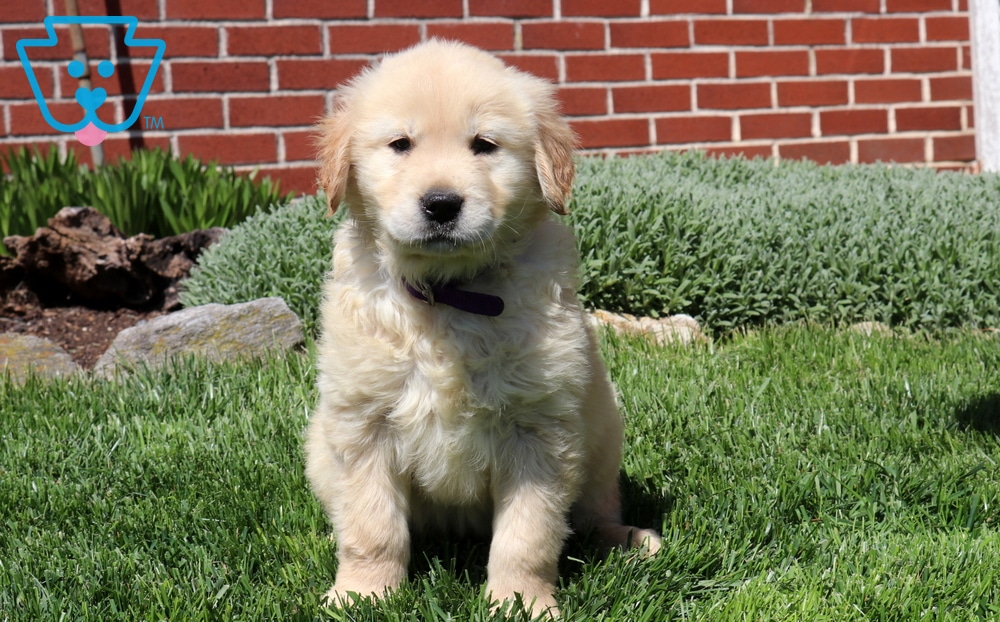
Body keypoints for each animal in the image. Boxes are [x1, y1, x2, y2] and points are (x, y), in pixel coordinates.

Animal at [305, 39, 661, 617]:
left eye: (484, 145)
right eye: (400, 144)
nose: (441, 204)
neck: (450, 295)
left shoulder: (540, 428)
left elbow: (528, 534)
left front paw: (522, 603)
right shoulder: (363, 424)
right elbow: (372, 526)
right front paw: (362, 595)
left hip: (603, 437)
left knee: (593, 513)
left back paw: (628, 539)